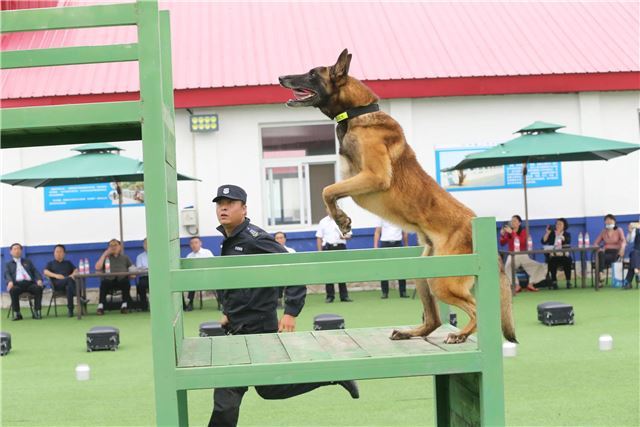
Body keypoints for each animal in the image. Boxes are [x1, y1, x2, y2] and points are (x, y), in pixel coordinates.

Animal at [278, 50, 516, 344]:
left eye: (312, 74)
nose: (281, 77)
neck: (357, 112)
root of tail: (476, 227)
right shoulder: (352, 175)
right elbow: (331, 190)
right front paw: (342, 219)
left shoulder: (374, 176)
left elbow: (327, 191)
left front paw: (342, 221)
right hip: (424, 274)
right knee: (434, 319)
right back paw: (411, 332)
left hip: (442, 281)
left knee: (476, 309)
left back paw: (460, 334)